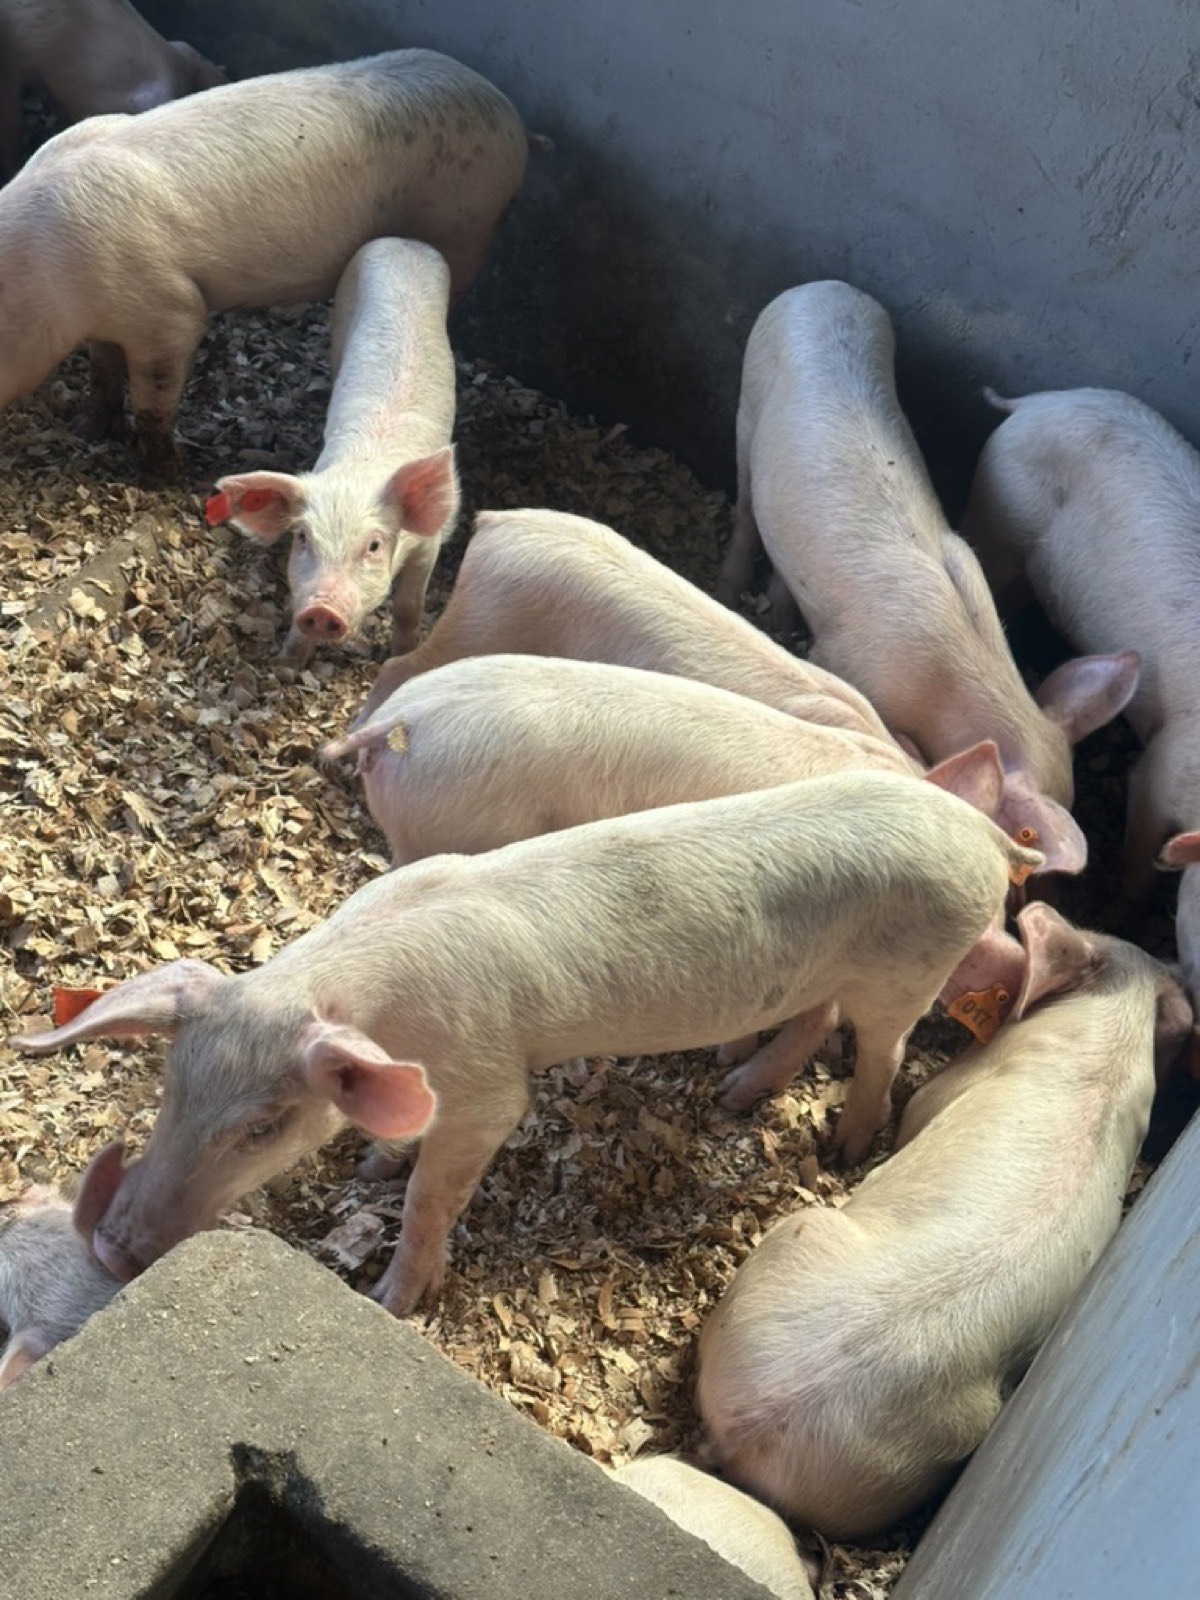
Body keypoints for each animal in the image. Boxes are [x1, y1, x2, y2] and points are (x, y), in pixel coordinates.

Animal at [0, 49, 528, 472]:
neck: (45, 274)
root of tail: (509, 116)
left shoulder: (167, 311)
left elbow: (155, 396)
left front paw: (164, 472)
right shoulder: (108, 319)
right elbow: (103, 372)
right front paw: (87, 429)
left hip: (465, 224)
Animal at [12, 770, 1042, 1318]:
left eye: (264, 1127)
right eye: (169, 1092)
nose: (115, 1249)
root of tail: (987, 836)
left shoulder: (486, 1087)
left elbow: (434, 1195)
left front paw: (391, 1301)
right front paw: (372, 1169)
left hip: (914, 966)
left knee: (881, 1051)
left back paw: (842, 1149)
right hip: (832, 972)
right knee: (816, 1018)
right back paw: (733, 1089)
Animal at [207, 238, 458, 665]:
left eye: (373, 545)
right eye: (302, 538)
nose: (322, 610)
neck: (360, 473)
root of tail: (404, 242)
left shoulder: (429, 544)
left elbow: (409, 606)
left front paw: (400, 657)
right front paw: (286, 664)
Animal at [717, 281, 1141, 874]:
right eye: (1025, 832)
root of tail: (826, 287)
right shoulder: (848, 660)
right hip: (749, 396)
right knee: (745, 504)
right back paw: (728, 587)